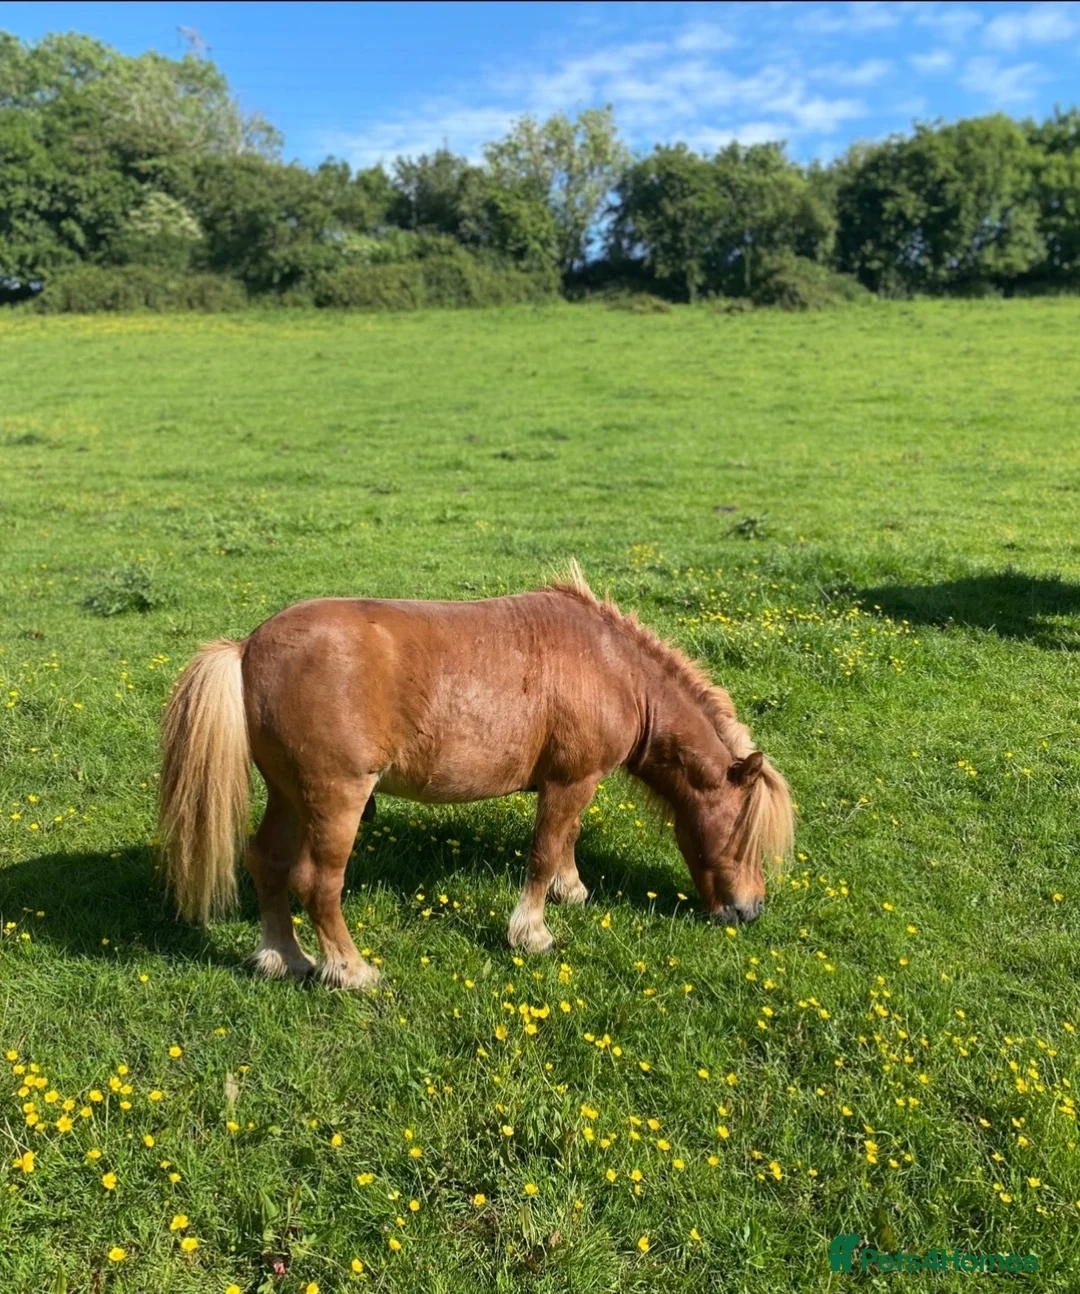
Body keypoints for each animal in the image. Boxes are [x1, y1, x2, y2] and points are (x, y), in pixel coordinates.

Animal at [158, 566, 793, 989]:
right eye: (743, 837)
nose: (750, 912)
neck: (613, 668)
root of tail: (247, 649)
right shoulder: (571, 782)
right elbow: (543, 852)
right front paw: (532, 933)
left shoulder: (574, 786)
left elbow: (566, 841)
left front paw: (571, 890)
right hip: (336, 799)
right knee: (317, 884)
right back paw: (352, 971)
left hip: (290, 797)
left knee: (266, 862)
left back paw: (283, 958)